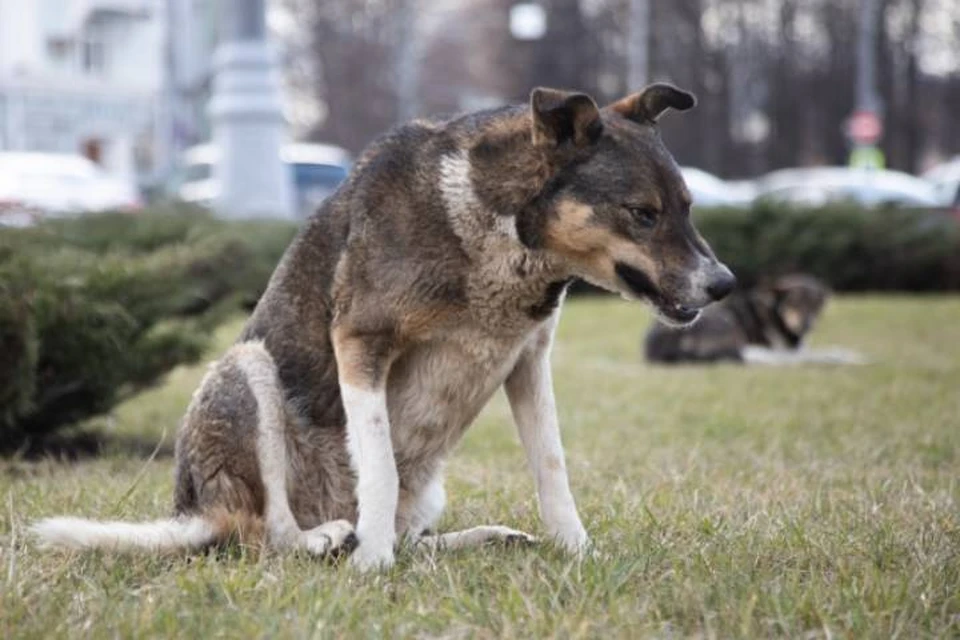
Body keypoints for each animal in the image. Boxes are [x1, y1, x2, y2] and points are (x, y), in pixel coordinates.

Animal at [30, 84, 736, 568]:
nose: (725, 284)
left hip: (429, 489)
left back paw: (478, 538)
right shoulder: (361, 343)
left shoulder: (528, 362)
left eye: (688, 206)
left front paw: (578, 551)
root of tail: (195, 513)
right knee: (269, 534)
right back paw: (329, 538)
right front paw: (371, 564)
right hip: (246, 371)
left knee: (413, 535)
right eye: (642, 213)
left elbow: (552, 468)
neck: (494, 230)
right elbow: (377, 464)